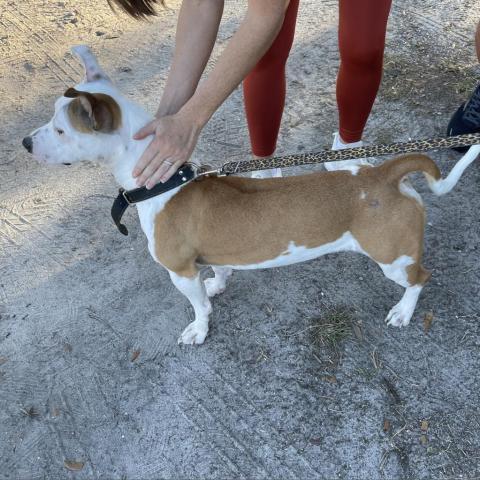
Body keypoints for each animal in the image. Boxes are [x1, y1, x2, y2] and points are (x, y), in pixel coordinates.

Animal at [21, 47, 480, 344]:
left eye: (60, 130)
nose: (25, 143)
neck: (165, 181)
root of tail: (385, 172)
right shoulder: (211, 254)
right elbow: (220, 273)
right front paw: (216, 285)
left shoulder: (179, 271)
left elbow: (199, 308)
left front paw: (199, 329)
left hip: (393, 258)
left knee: (420, 279)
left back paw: (404, 312)